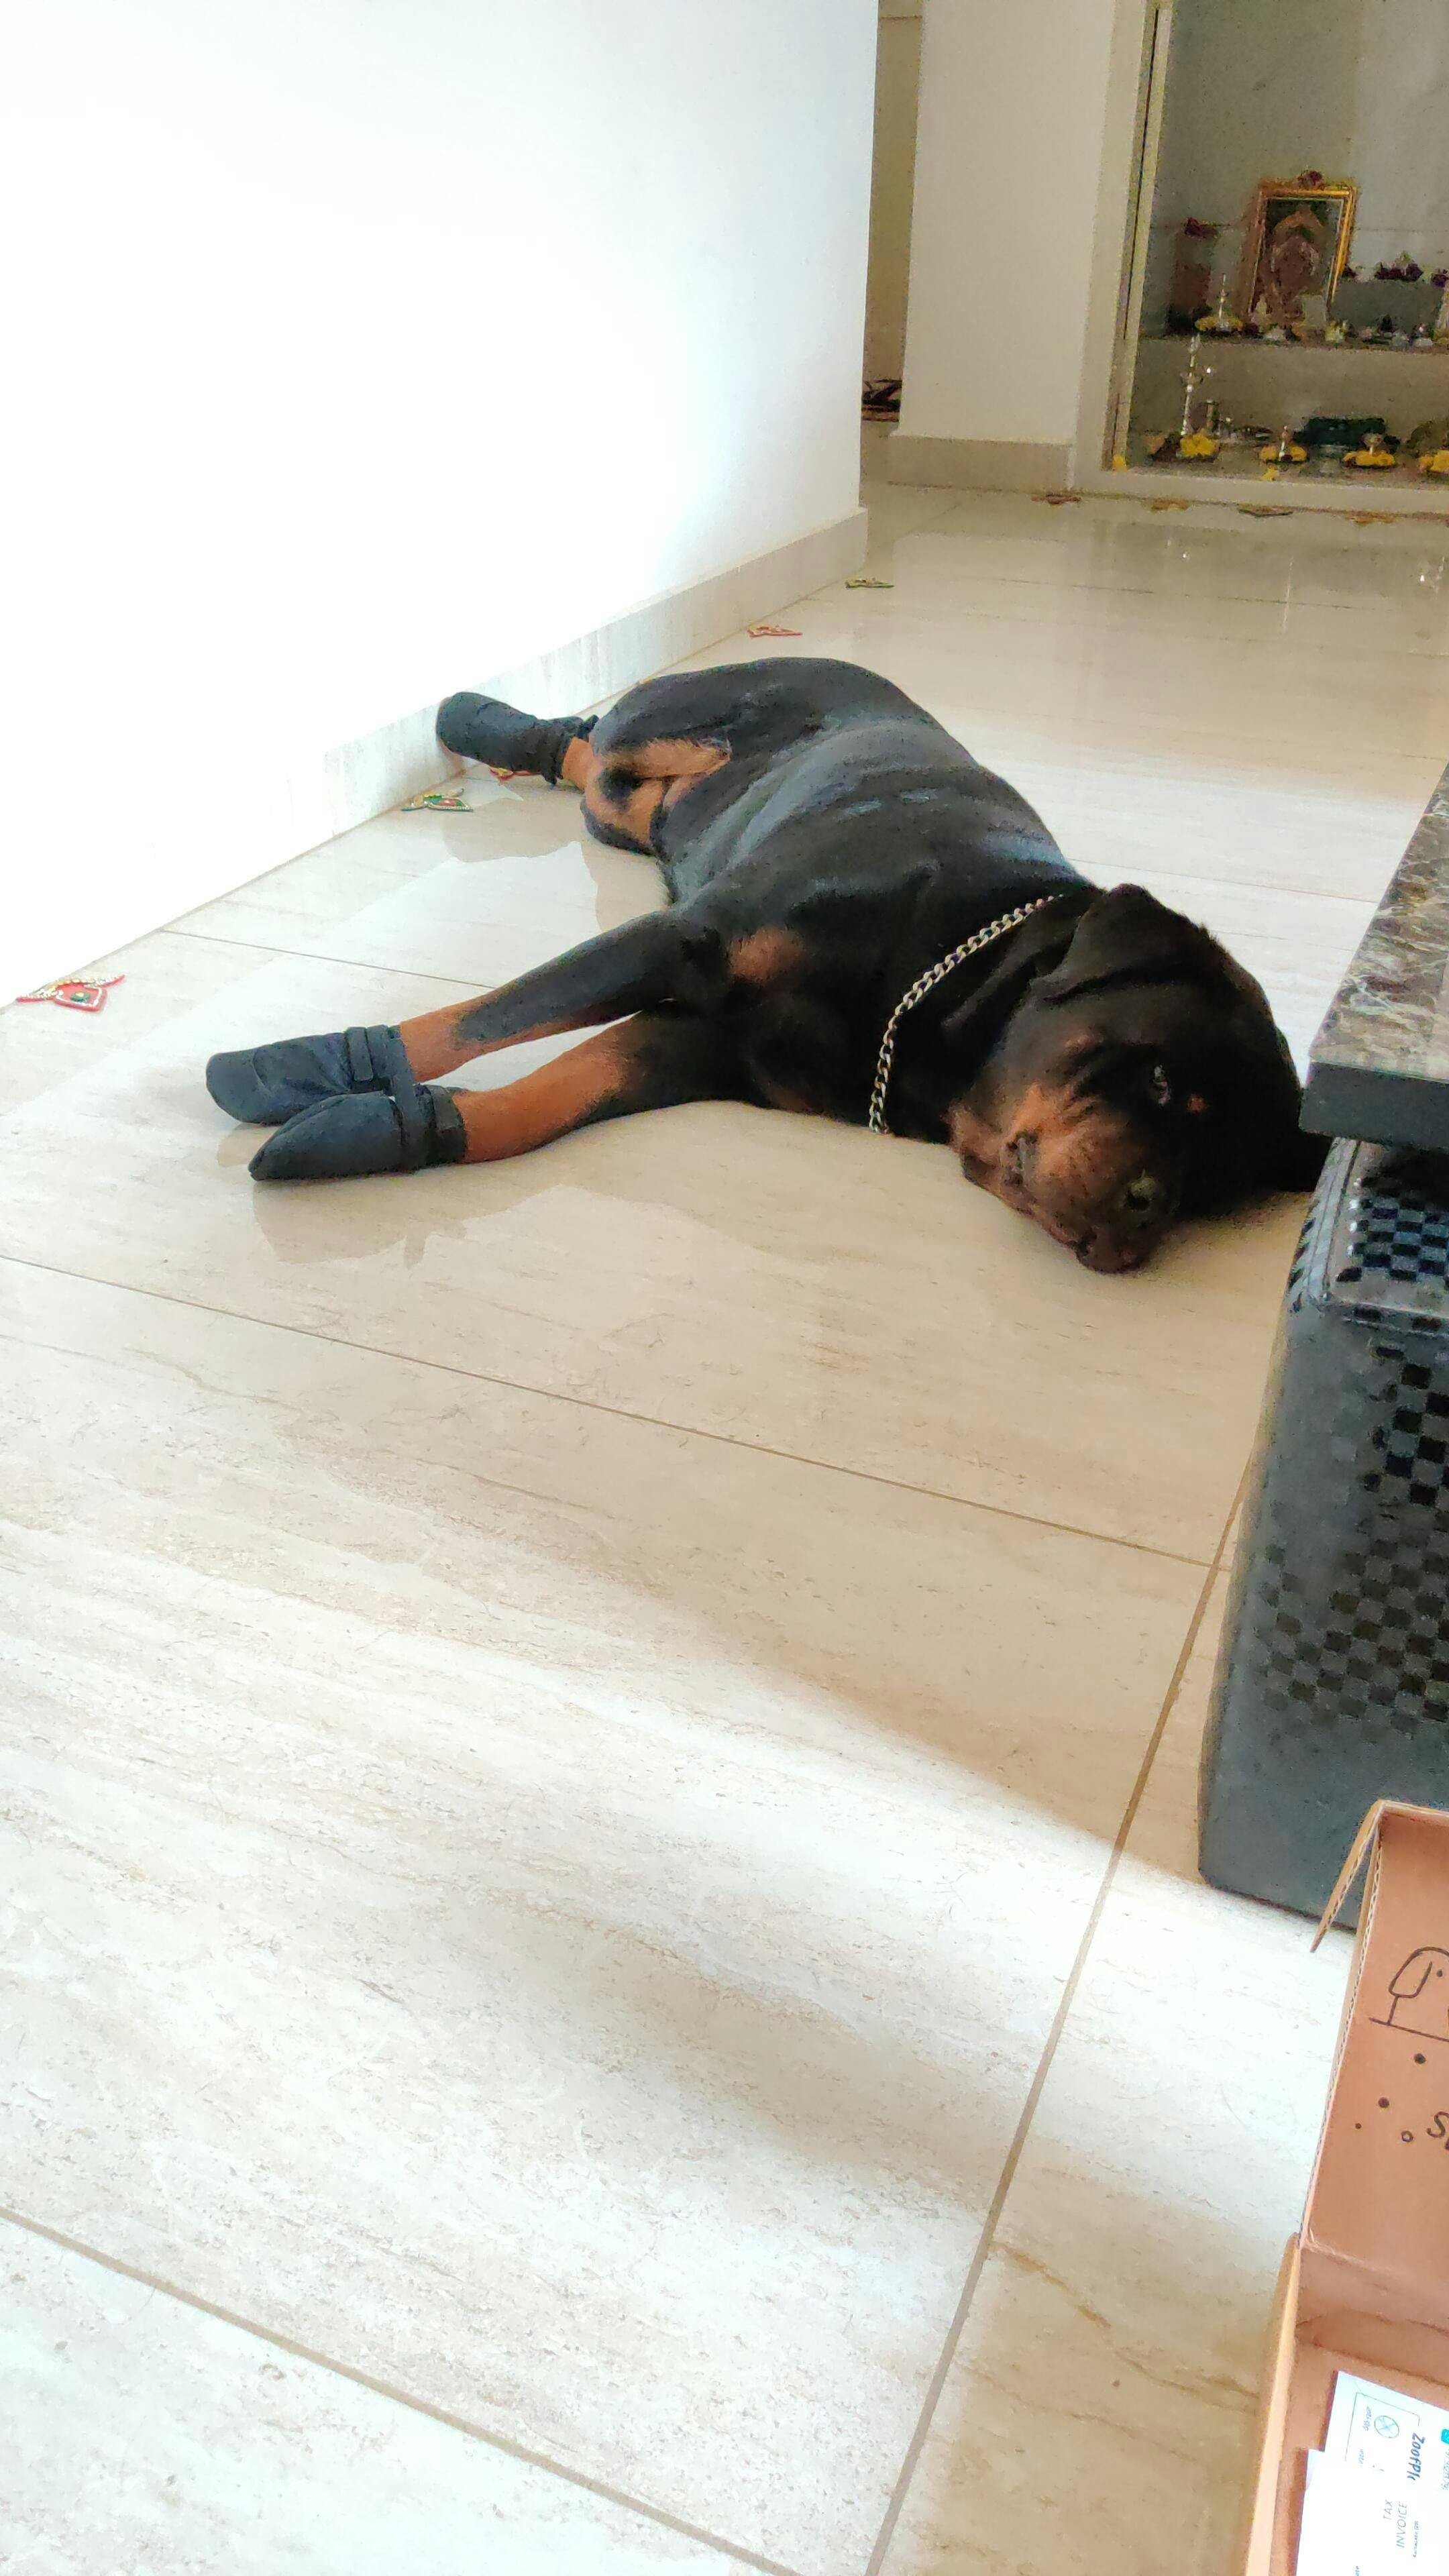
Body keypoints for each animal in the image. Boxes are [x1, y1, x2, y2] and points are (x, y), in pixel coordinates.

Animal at [205, 657, 1325, 1272]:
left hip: (634, 822)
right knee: (592, 738)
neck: (945, 976)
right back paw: (479, 719)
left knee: (592, 768)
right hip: (670, 740)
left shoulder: (703, 1052)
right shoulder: (682, 942)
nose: (1148, 1210)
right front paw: (307, 1064)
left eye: (1213, 1187)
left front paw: (371, 1130)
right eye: (1164, 1081)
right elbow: (478, 1019)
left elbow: (545, 1101)